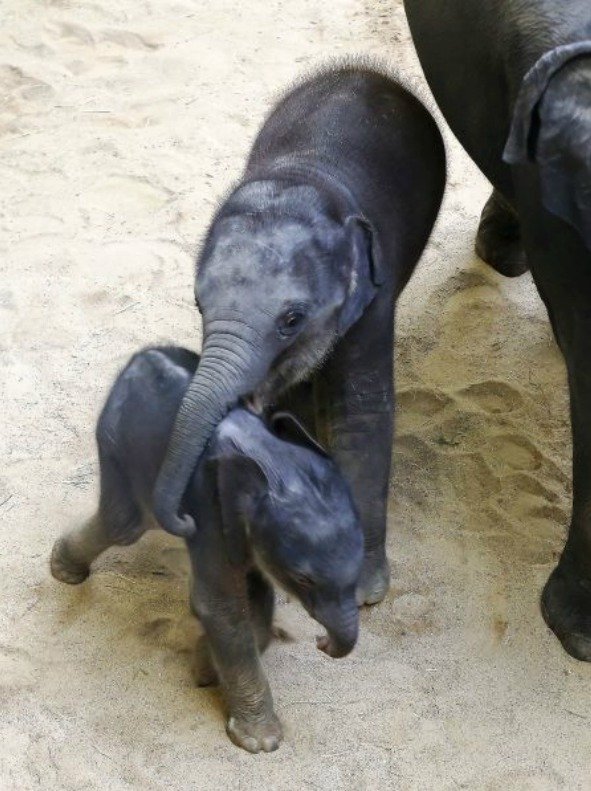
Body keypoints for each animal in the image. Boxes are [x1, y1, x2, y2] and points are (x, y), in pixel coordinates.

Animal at [51, 348, 364, 756]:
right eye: (303, 578)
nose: (321, 642)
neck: (272, 460)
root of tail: (142, 355)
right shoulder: (209, 508)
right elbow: (221, 604)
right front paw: (260, 742)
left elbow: (256, 591)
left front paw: (205, 668)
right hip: (117, 440)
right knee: (123, 523)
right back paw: (64, 570)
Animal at [151, 63, 444, 608]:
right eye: (199, 304)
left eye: (291, 318)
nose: (182, 518)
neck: (303, 177)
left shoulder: (373, 293)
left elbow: (362, 410)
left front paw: (363, 590)